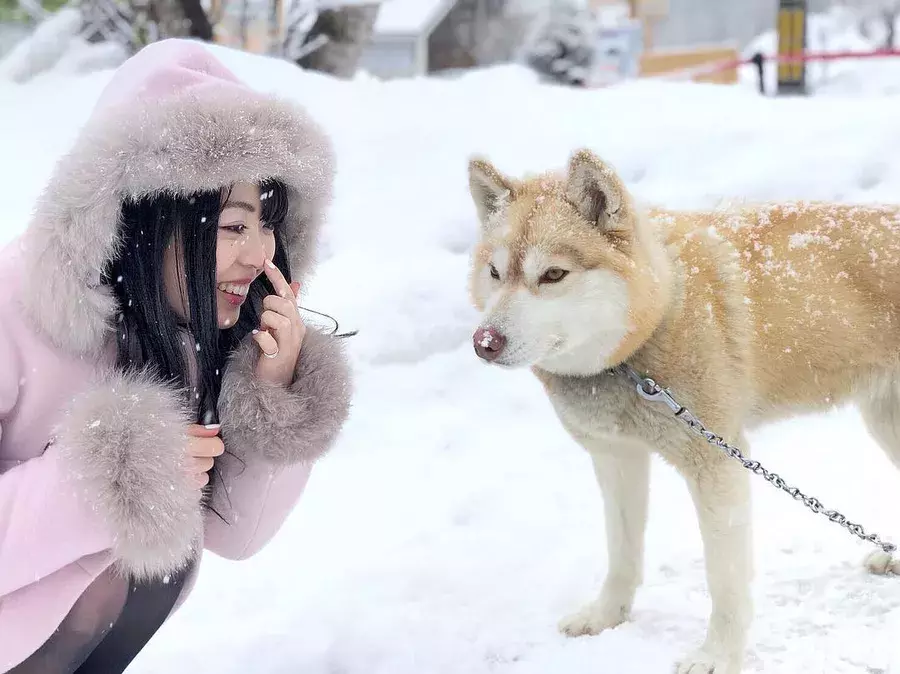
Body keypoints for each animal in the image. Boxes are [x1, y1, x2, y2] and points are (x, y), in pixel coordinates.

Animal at [464, 148, 900, 672]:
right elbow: (621, 553)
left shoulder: (717, 465)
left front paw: (718, 655)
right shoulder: (616, 460)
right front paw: (607, 615)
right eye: (494, 273)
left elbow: (724, 581)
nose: (484, 342)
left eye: (552, 275)